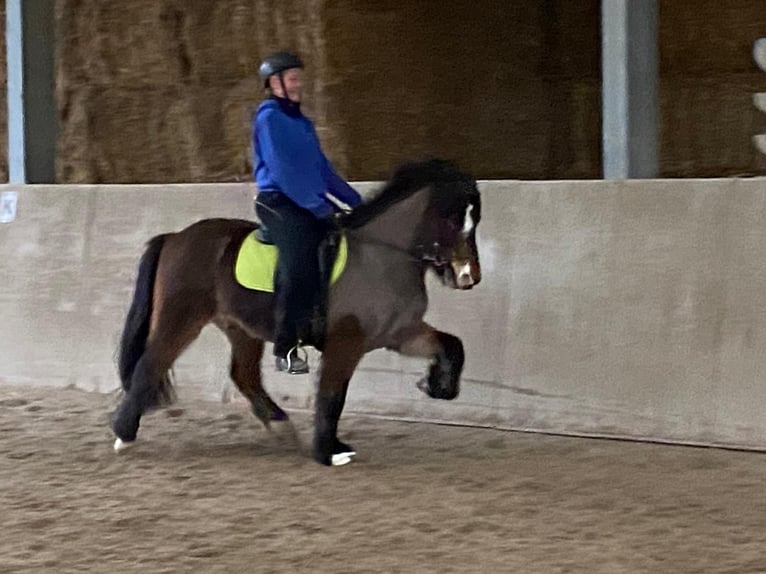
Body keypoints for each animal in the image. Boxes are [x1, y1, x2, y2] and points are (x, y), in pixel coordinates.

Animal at [110, 158, 482, 466]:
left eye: (473, 219)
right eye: (451, 218)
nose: (468, 277)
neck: (380, 258)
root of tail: (175, 237)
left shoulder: (400, 333)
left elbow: (453, 345)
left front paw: (436, 385)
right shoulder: (346, 341)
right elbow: (332, 395)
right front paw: (328, 452)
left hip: (240, 328)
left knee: (243, 374)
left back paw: (281, 426)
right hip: (181, 317)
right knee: (150, 365)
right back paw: (123, 437)